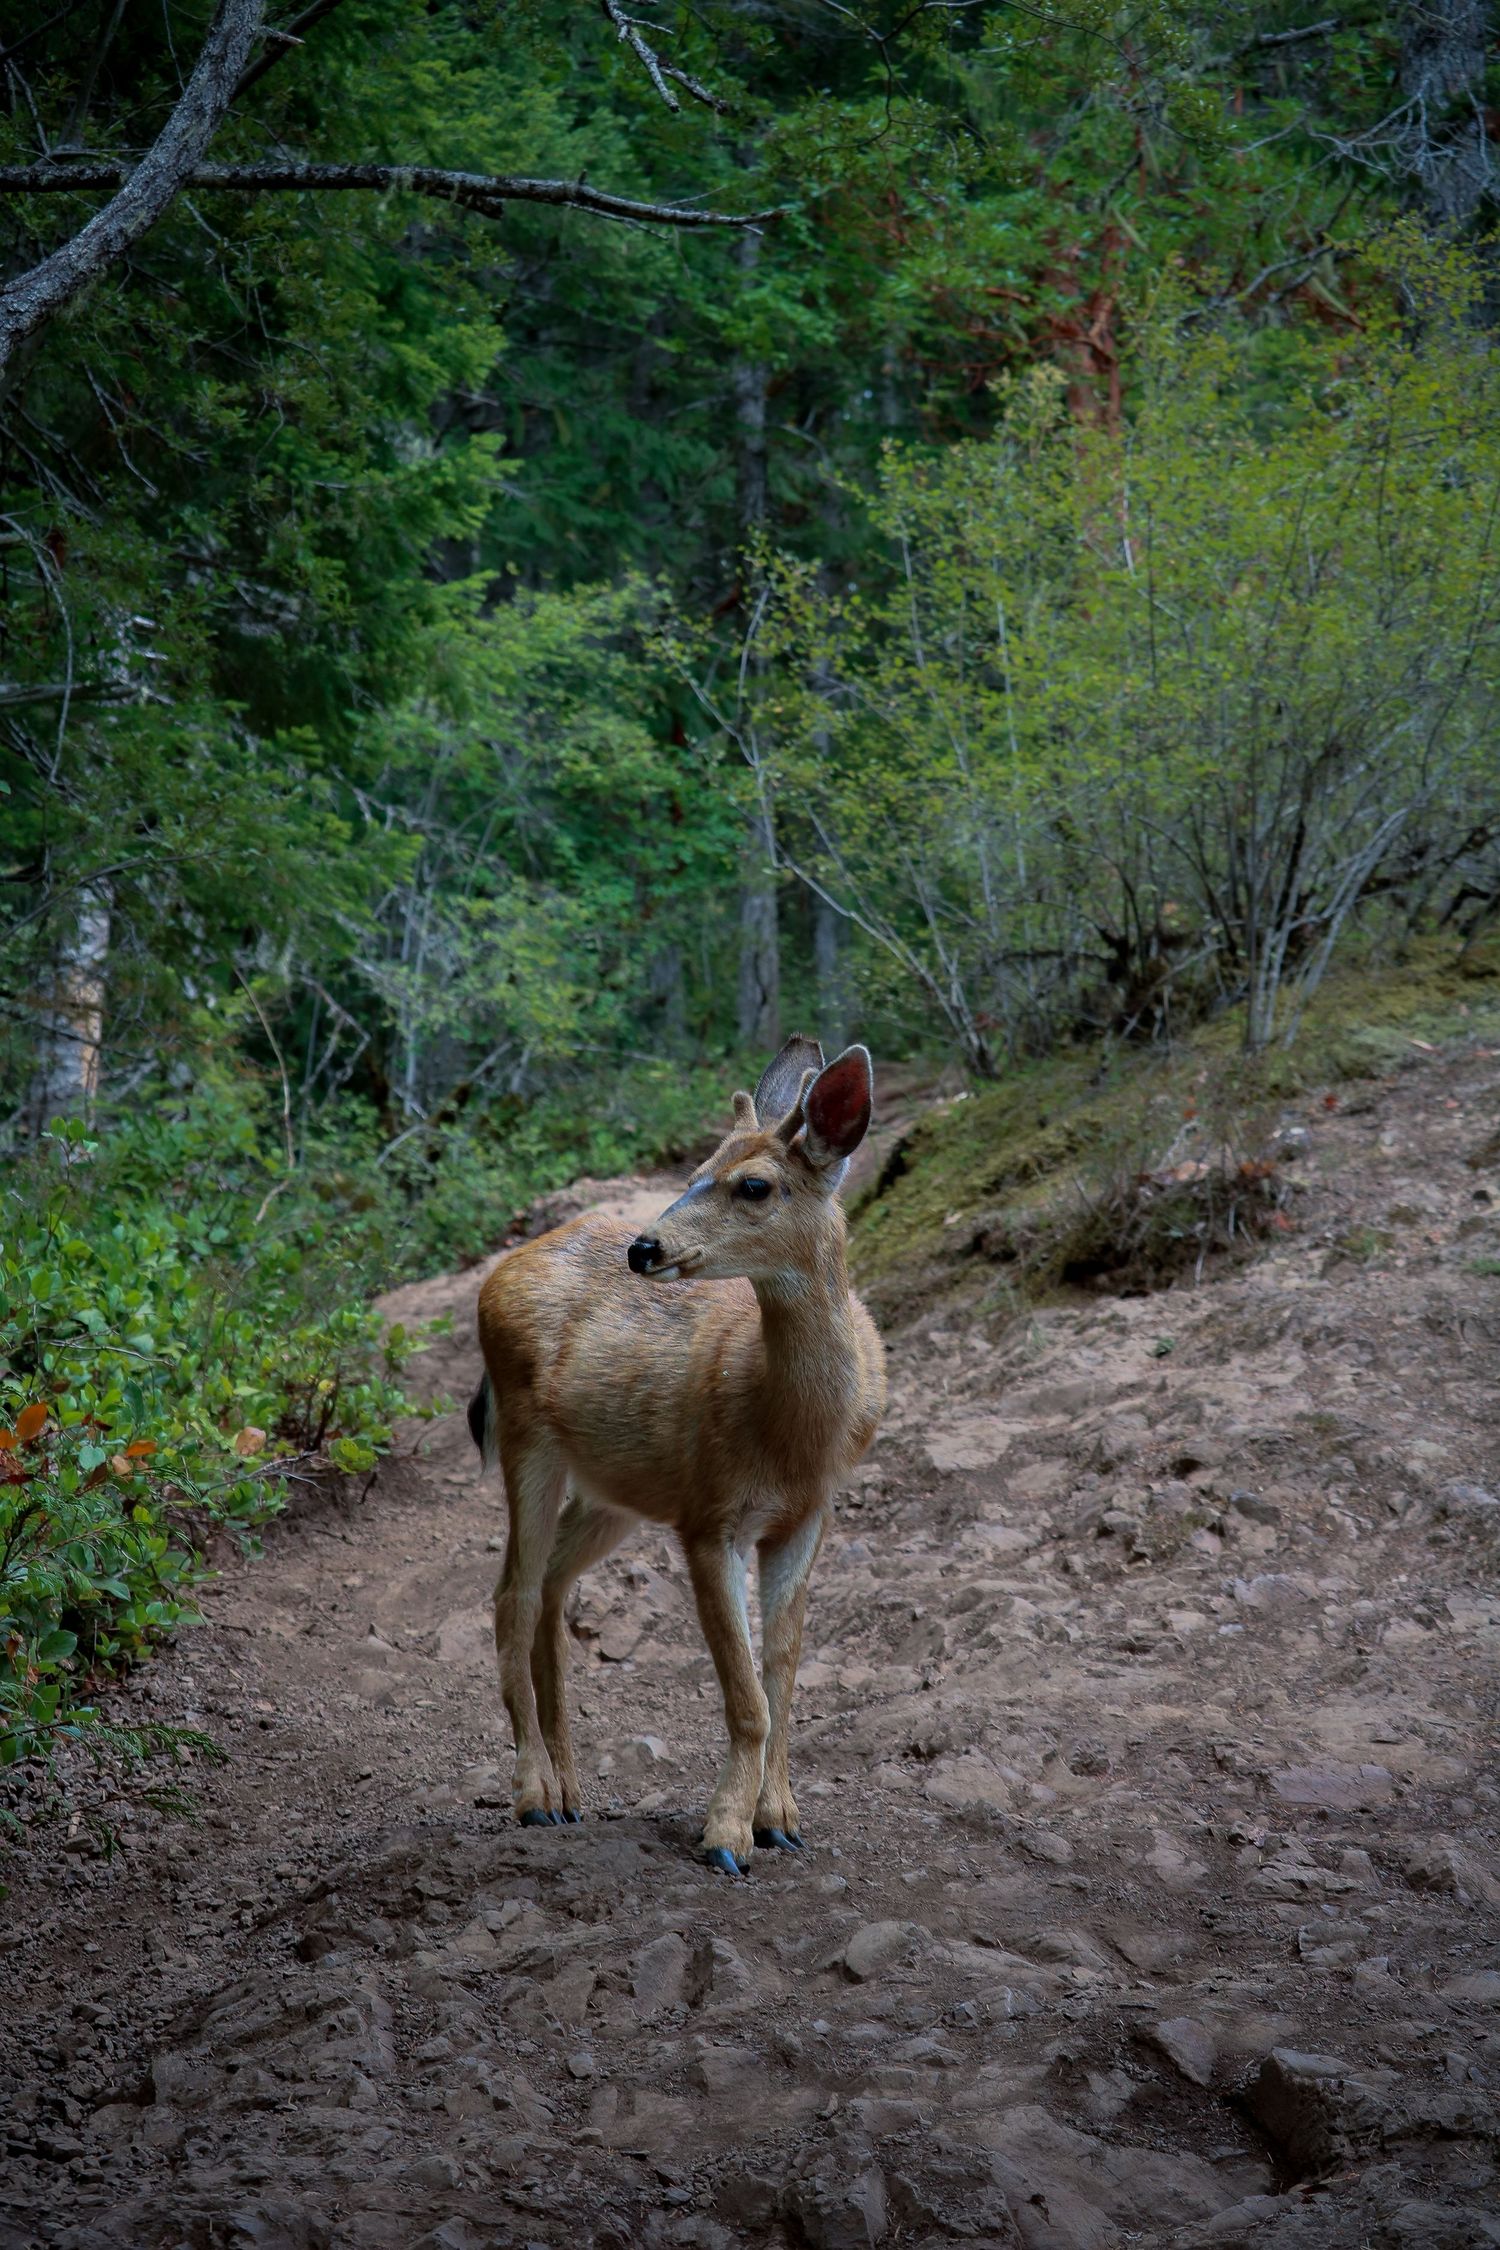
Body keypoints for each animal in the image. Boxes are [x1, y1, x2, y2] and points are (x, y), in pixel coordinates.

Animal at [468, 1036, 886, 1874]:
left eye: (754, 1184)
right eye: (694, 1167)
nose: (644, 1246)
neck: (791, 1431)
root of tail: (500, 1270)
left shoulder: (806, 1516)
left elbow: (783, 1671)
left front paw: (781, 1818)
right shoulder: (708, 1516)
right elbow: (745, 1695)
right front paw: (727, 1835)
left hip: (615, 1490)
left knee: (551, 1587)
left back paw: (571, 1791)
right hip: (528, 1443)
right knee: (511, 1595)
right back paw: (534, 1794)